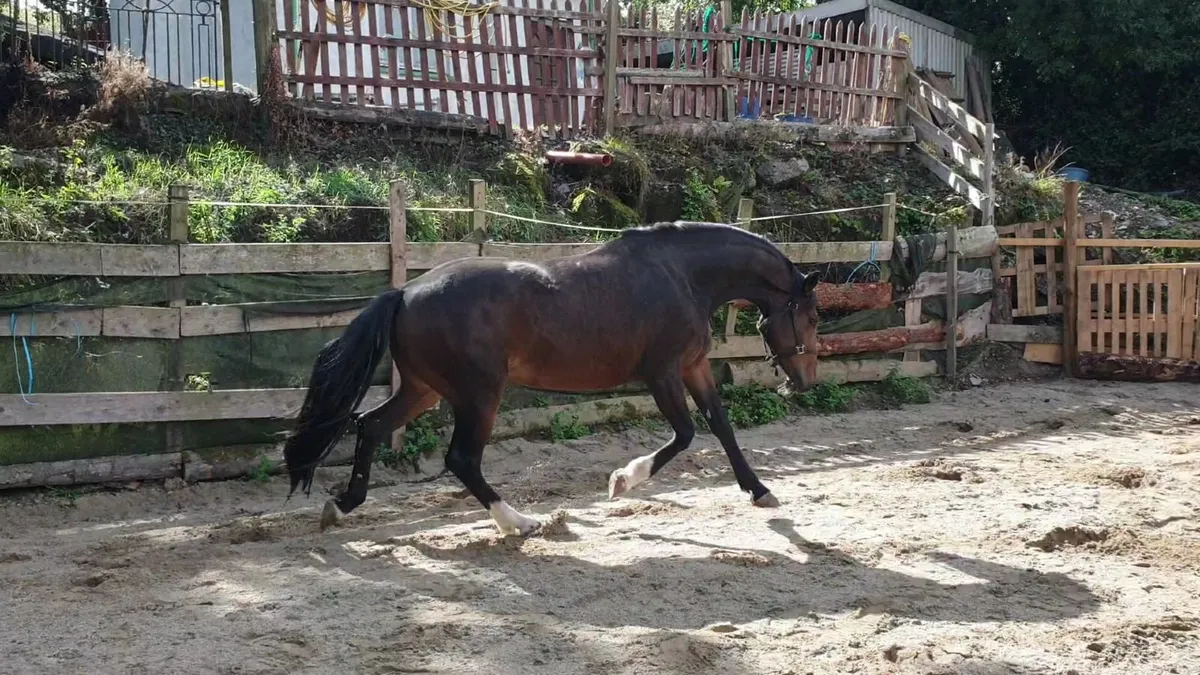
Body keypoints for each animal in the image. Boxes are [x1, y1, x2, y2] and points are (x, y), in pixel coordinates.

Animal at [282, 221, 820, 536]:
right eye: (813, 317)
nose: (803, 381)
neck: (682, 275)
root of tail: (405, 293)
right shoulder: (663, 372)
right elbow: (686, 433)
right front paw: (622, 481)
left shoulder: (693, 366)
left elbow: (721, 426)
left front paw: (760, 491)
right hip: (479, 394)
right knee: (461, 459)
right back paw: (519, 523)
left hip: (424, 388)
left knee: (371, 425)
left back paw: (343, 506)